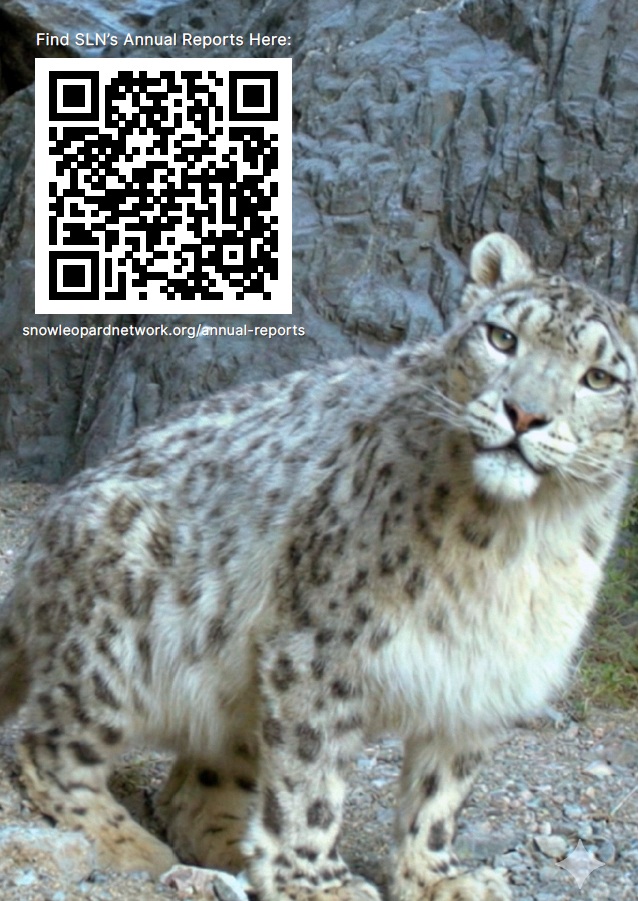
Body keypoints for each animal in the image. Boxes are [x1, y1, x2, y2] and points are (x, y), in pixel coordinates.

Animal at [1, 232, 637, 901]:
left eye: (599, 378)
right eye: (502, 338)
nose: (524, 414)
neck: (520, 540)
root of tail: (35, 558)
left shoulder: (485, 673)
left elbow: (442, 790)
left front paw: (438, 876)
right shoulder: (324, 647)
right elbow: (311, 773)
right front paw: (317, 881)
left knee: (196, 795)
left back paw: (231, 851)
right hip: (121, 638)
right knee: (48, 746)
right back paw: (131, 844)